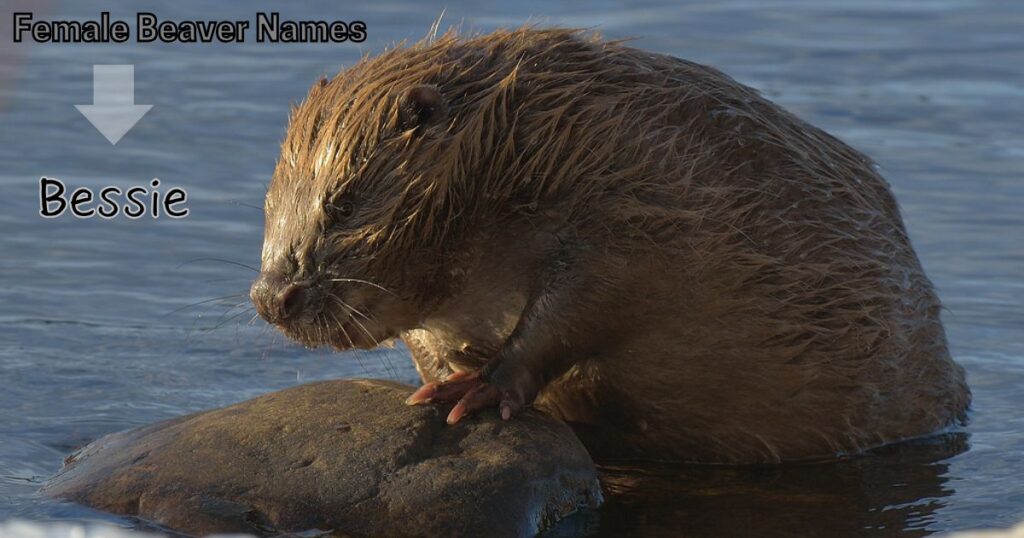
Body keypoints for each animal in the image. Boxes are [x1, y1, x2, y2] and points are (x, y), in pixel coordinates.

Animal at [247, 27, 966, 461]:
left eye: (342, 204)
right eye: (269, 208)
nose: (272, 296)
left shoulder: (636, 205)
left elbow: (585, 303)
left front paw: (472, 391)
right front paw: (443, 376)